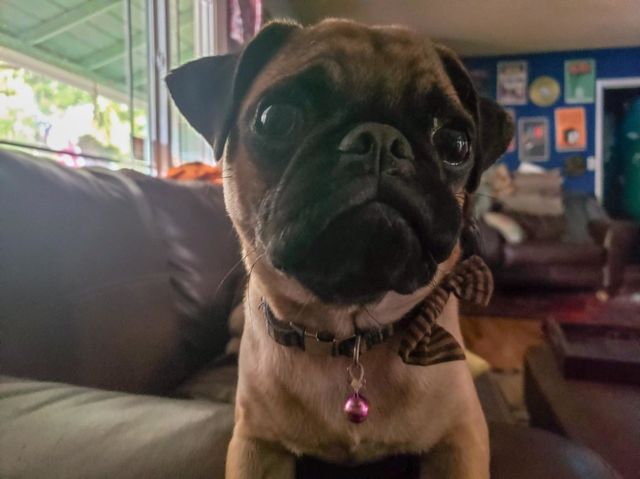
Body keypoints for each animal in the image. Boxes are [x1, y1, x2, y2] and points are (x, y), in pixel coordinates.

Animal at [167, 19, 512, 479]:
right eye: (275, 118)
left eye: (456, 143)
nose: (381, 139)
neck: (350, 336)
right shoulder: (255, 445)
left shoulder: (461, 438)